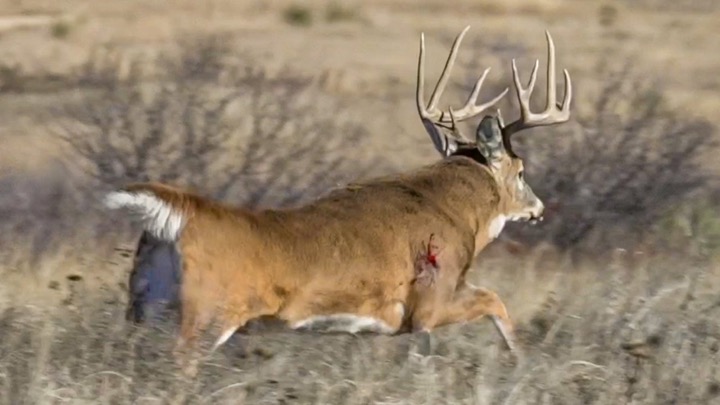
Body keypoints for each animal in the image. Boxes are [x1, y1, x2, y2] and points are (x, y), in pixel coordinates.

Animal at [103, 25, 571, 371]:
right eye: (522, 171)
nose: (539, 208)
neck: (459, 213)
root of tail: (182, 216)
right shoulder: (429, 304)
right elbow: (497, 301)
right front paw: (521, 362)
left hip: (143, 304)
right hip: (207, 313)